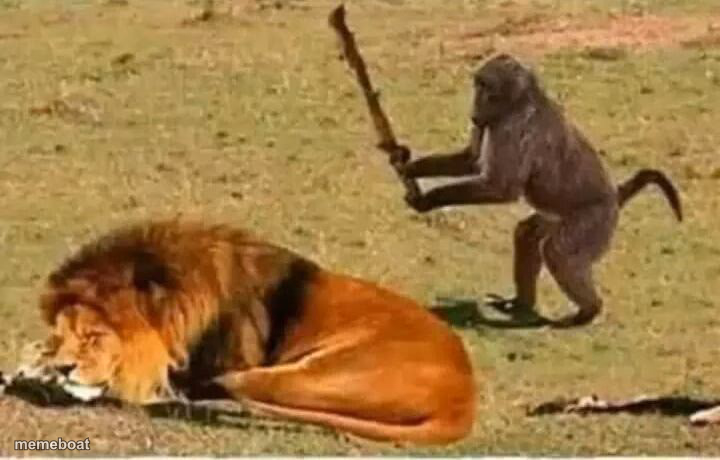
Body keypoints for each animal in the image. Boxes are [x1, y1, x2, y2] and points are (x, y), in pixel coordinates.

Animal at [389, 53, 683, 328]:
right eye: (477, 84)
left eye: (485, 86)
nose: (474, 111)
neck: (523, 99)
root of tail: (615, 196)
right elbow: (470, 159)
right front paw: (406, 164)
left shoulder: (515, 127)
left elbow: (502, 188)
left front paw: (427, 200)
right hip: (557, 218)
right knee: (527, 235)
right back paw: (520, 303)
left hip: (593, 220)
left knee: (558, 252)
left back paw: (588, 311)